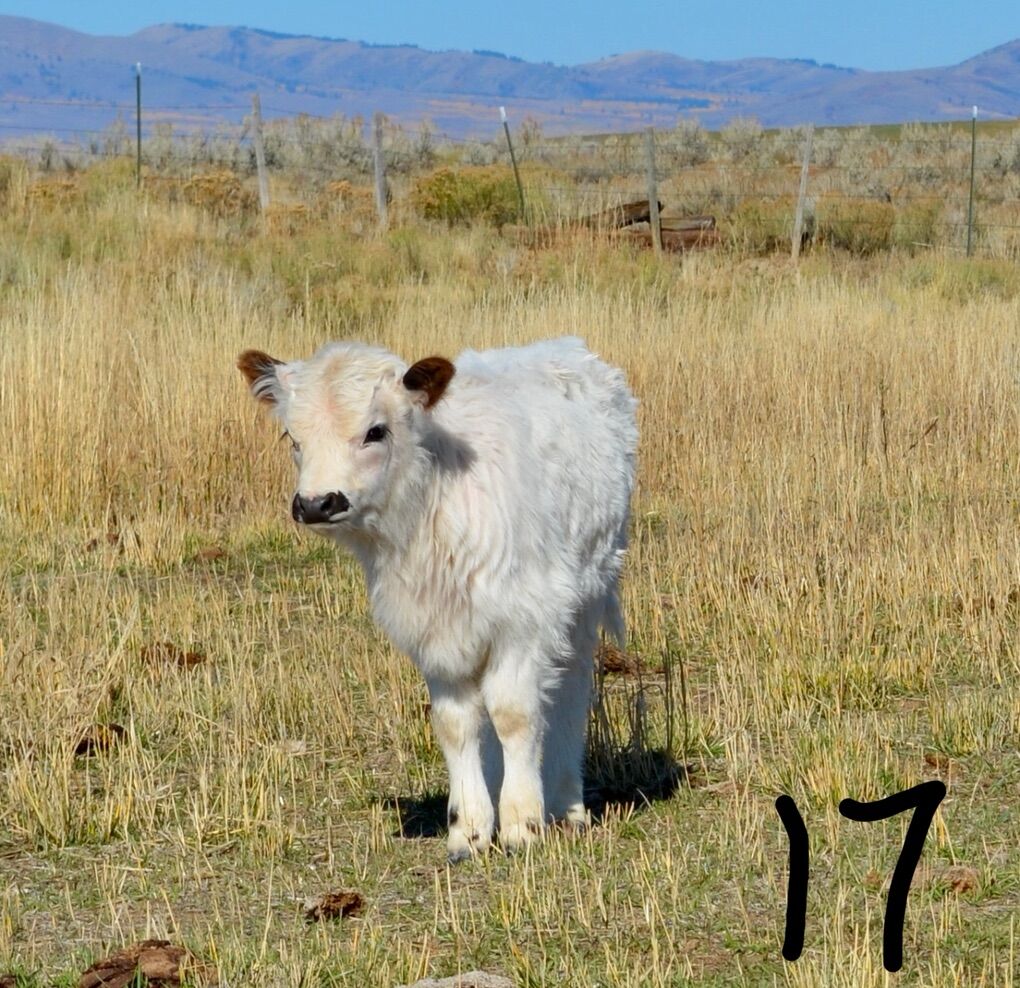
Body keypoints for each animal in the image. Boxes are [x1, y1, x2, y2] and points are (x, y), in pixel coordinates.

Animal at [237, 337, 637, 861]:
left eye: (375, 431)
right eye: (292, 437)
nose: (316, 503)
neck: (434, 502)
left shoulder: (525, 620)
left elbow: (515, 714)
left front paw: (522, 824)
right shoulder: (434, 633)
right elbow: (455, 724)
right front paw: (469, 828)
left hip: (585, 598)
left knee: (570, 688)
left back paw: (566, 802)